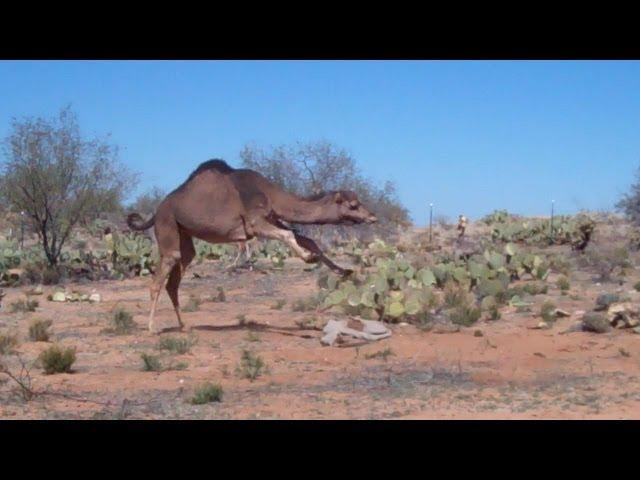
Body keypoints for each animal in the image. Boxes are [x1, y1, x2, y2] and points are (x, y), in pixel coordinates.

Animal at [127, 159, 378, 332]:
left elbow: (308, 239)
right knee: (160, 276)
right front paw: (309, 258)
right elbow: (288, 235)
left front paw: (345, 271)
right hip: (168, 224)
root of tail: (156, 211)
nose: (372, 217)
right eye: (353, 205)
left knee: (175, 278)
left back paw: (184, 325)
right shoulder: (255, 222)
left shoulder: (272, 217)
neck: (271, 195)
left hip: (184, 235)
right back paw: (151, 328)